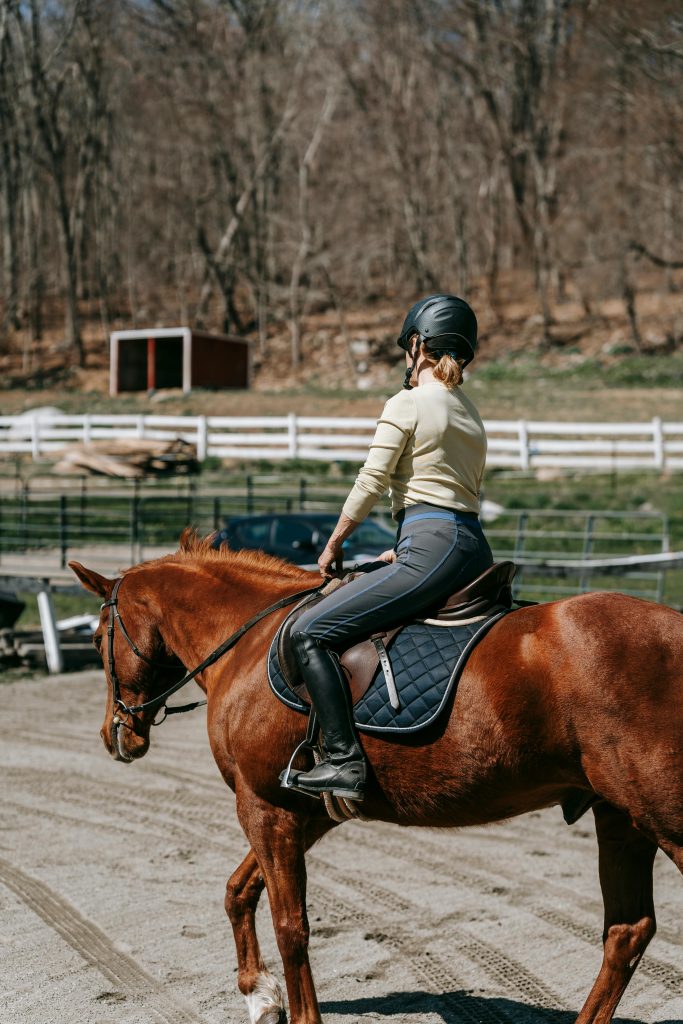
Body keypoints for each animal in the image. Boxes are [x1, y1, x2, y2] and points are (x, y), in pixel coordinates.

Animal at [70, 529, 683, 1024]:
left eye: (98, 638)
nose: (114, 736)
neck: (250, 643)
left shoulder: (263, 807)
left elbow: (291, 926)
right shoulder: (306, 810)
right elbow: (238, 891)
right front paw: (259, 995)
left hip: (663, 820)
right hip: (623, 819)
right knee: (626, 932)